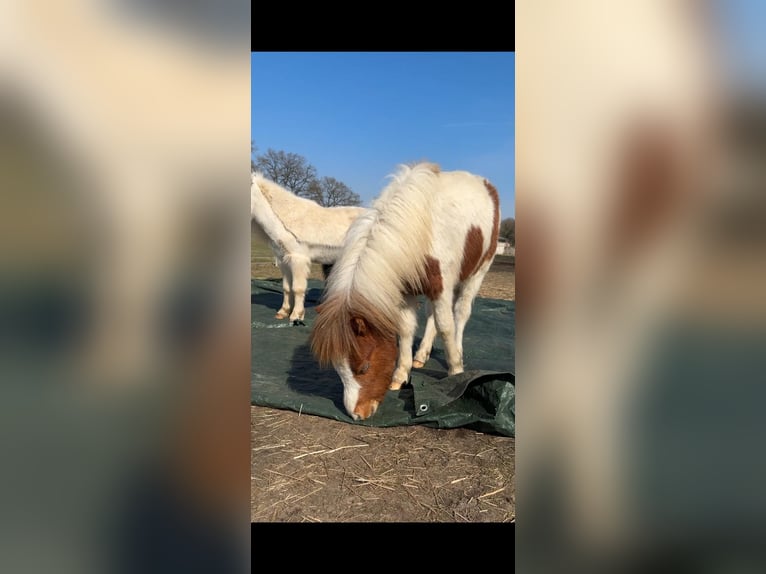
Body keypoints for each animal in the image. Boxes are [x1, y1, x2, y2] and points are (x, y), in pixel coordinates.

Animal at [251, 172, 368, 324]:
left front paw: (296, 316)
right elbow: (287, 287)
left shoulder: (298, 260)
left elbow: (298, 288)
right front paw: (283, 312)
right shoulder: (283, 260)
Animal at [309, 162, 500, 420]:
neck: (415, 230)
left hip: (477, 273)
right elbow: (407, 330)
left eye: (364, 367)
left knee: (460, 314)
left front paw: (455, 371)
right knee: (431, 316)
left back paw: (457, 354)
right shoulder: (407, 290)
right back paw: (421, 355)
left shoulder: (441, 286)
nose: (357, 414)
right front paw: (401, 375)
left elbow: (446, 327)